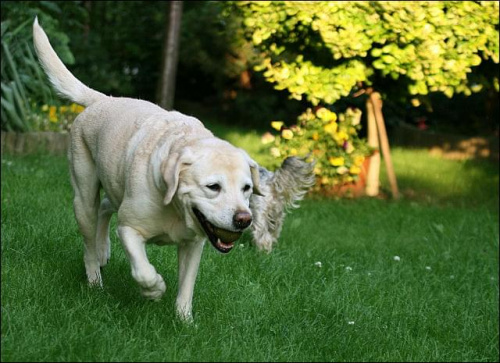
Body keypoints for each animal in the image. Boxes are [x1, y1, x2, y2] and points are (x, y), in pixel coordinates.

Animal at [33, 18, 264, 322]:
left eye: (247, 188)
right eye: (213, 187)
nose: (243, 219)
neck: (175, 206)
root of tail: (103, 99)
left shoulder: (194, 244)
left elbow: (187, 285)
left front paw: (184, 321)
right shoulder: (129, 229)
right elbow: (142, 269)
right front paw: (154, 289)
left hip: (114, 184)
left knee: (106, 207)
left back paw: (103, 250)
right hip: (83, 198)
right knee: (89, 239)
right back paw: (94, 277)